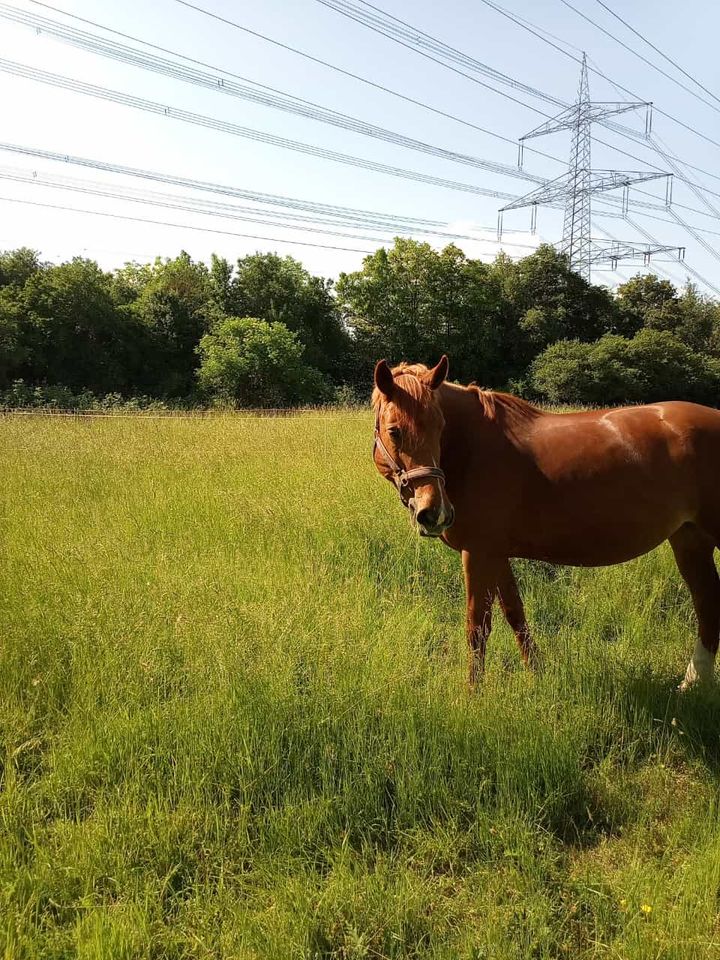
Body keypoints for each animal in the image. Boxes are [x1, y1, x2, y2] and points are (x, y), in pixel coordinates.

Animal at [374, 356, 720, 688]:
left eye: (440, 426)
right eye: (394, 431)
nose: (435, 512)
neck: (472, 449)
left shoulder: (478, 553)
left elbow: (477, 625)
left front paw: (473, 692)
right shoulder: (495, 554)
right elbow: (515, 614)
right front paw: (536, 674)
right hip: (690, 539)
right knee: (706, 600)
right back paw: (693, 683)